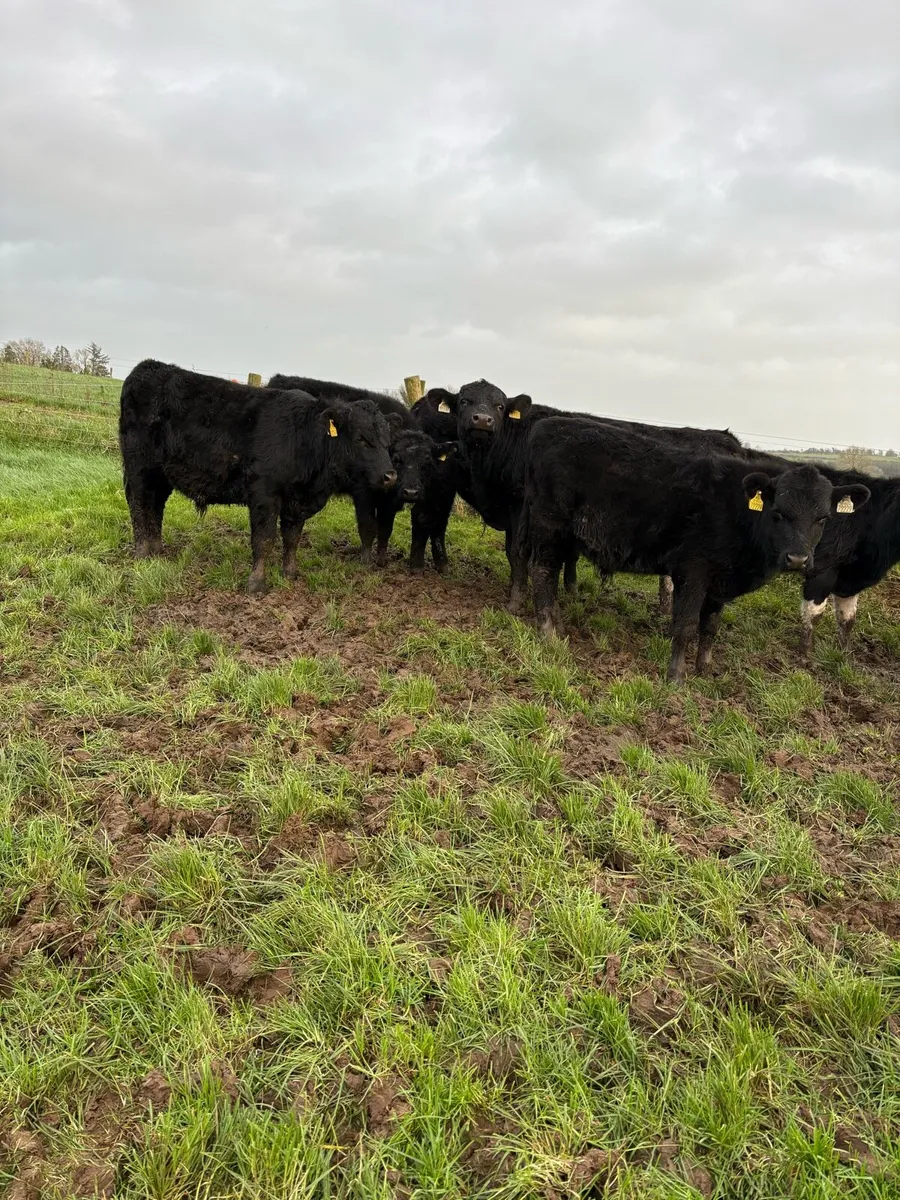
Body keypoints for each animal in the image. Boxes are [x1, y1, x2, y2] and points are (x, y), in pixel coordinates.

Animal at [120, 360, 398, 594]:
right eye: (361, 438)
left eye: (387, 440)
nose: (390, 476)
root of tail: (148, 366)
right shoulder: (264, 493)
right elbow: (264, 539)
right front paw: (256, 584)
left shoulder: (297, 501)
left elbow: (292, 537)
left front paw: (290, 574)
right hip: (138, 466)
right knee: (138, 504)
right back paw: (142, 553)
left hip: (161, 475)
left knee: (155, 506)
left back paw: (157, 551)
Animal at [446, 380, 746, 612]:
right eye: (464, 401)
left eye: (499, 406)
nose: (482, 420)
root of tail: (728, 440)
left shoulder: (521, 507)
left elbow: (518, 554)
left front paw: (515, 602)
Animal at [518, 416, 870, 681]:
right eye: (778, 513)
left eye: (823, 518)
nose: (798, 559)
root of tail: (548, 425)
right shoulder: (694, 571)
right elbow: (685, 625)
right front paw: (676, 676)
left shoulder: (720, 581)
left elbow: (710, 627)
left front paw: (704, 668)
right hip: (549, 525)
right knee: (542, 571)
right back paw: (548, 634)